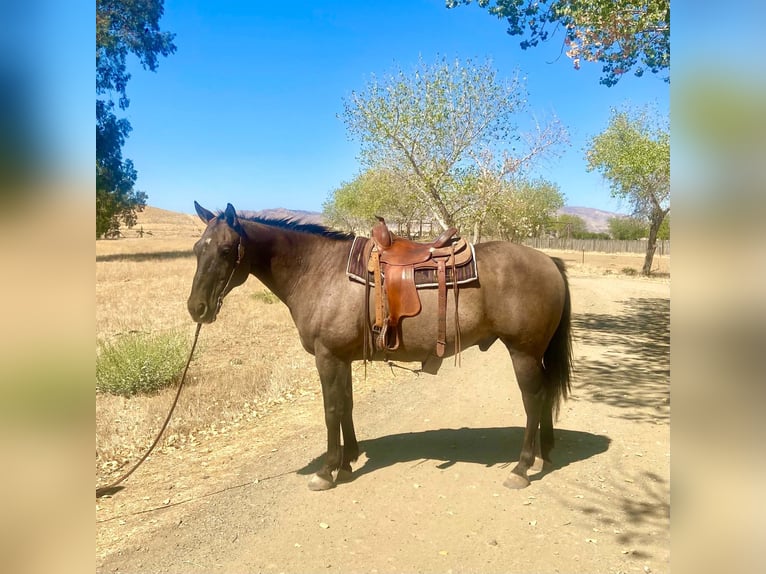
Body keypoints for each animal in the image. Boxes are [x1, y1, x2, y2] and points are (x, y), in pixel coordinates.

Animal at [187, 202, 572, 491]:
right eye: (196, 249)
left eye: (226, 250)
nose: (196, 308)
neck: (319, 271)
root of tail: (548, 261)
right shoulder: (341, 358)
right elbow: (346, 405)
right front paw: (348, 461)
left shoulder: (327, 357)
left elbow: (331, 410)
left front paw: (327, 470)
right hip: (534, 354)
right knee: (544, 396)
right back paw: (544, 454)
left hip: (523, 353)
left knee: (534, 399)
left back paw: (522, 467)